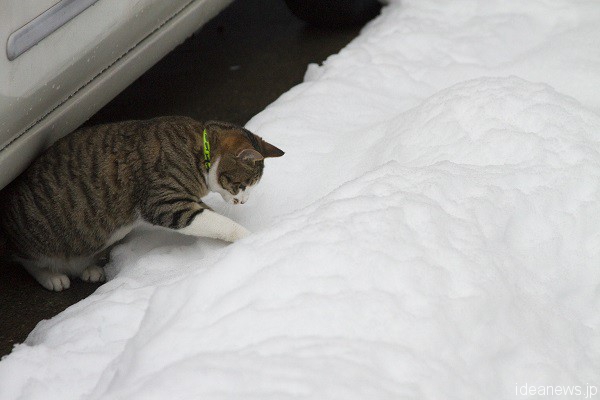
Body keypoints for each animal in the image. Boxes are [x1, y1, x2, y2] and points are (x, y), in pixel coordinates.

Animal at [0, 115, 284, 290]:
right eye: (243, 185)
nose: (243, 202)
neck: (200, 150)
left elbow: (212, 215)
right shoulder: (167, 203)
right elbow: (218, 223)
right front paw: (251, 237)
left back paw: (88, 269)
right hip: (35, 236)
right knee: (24, 258)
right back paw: (51, 276)